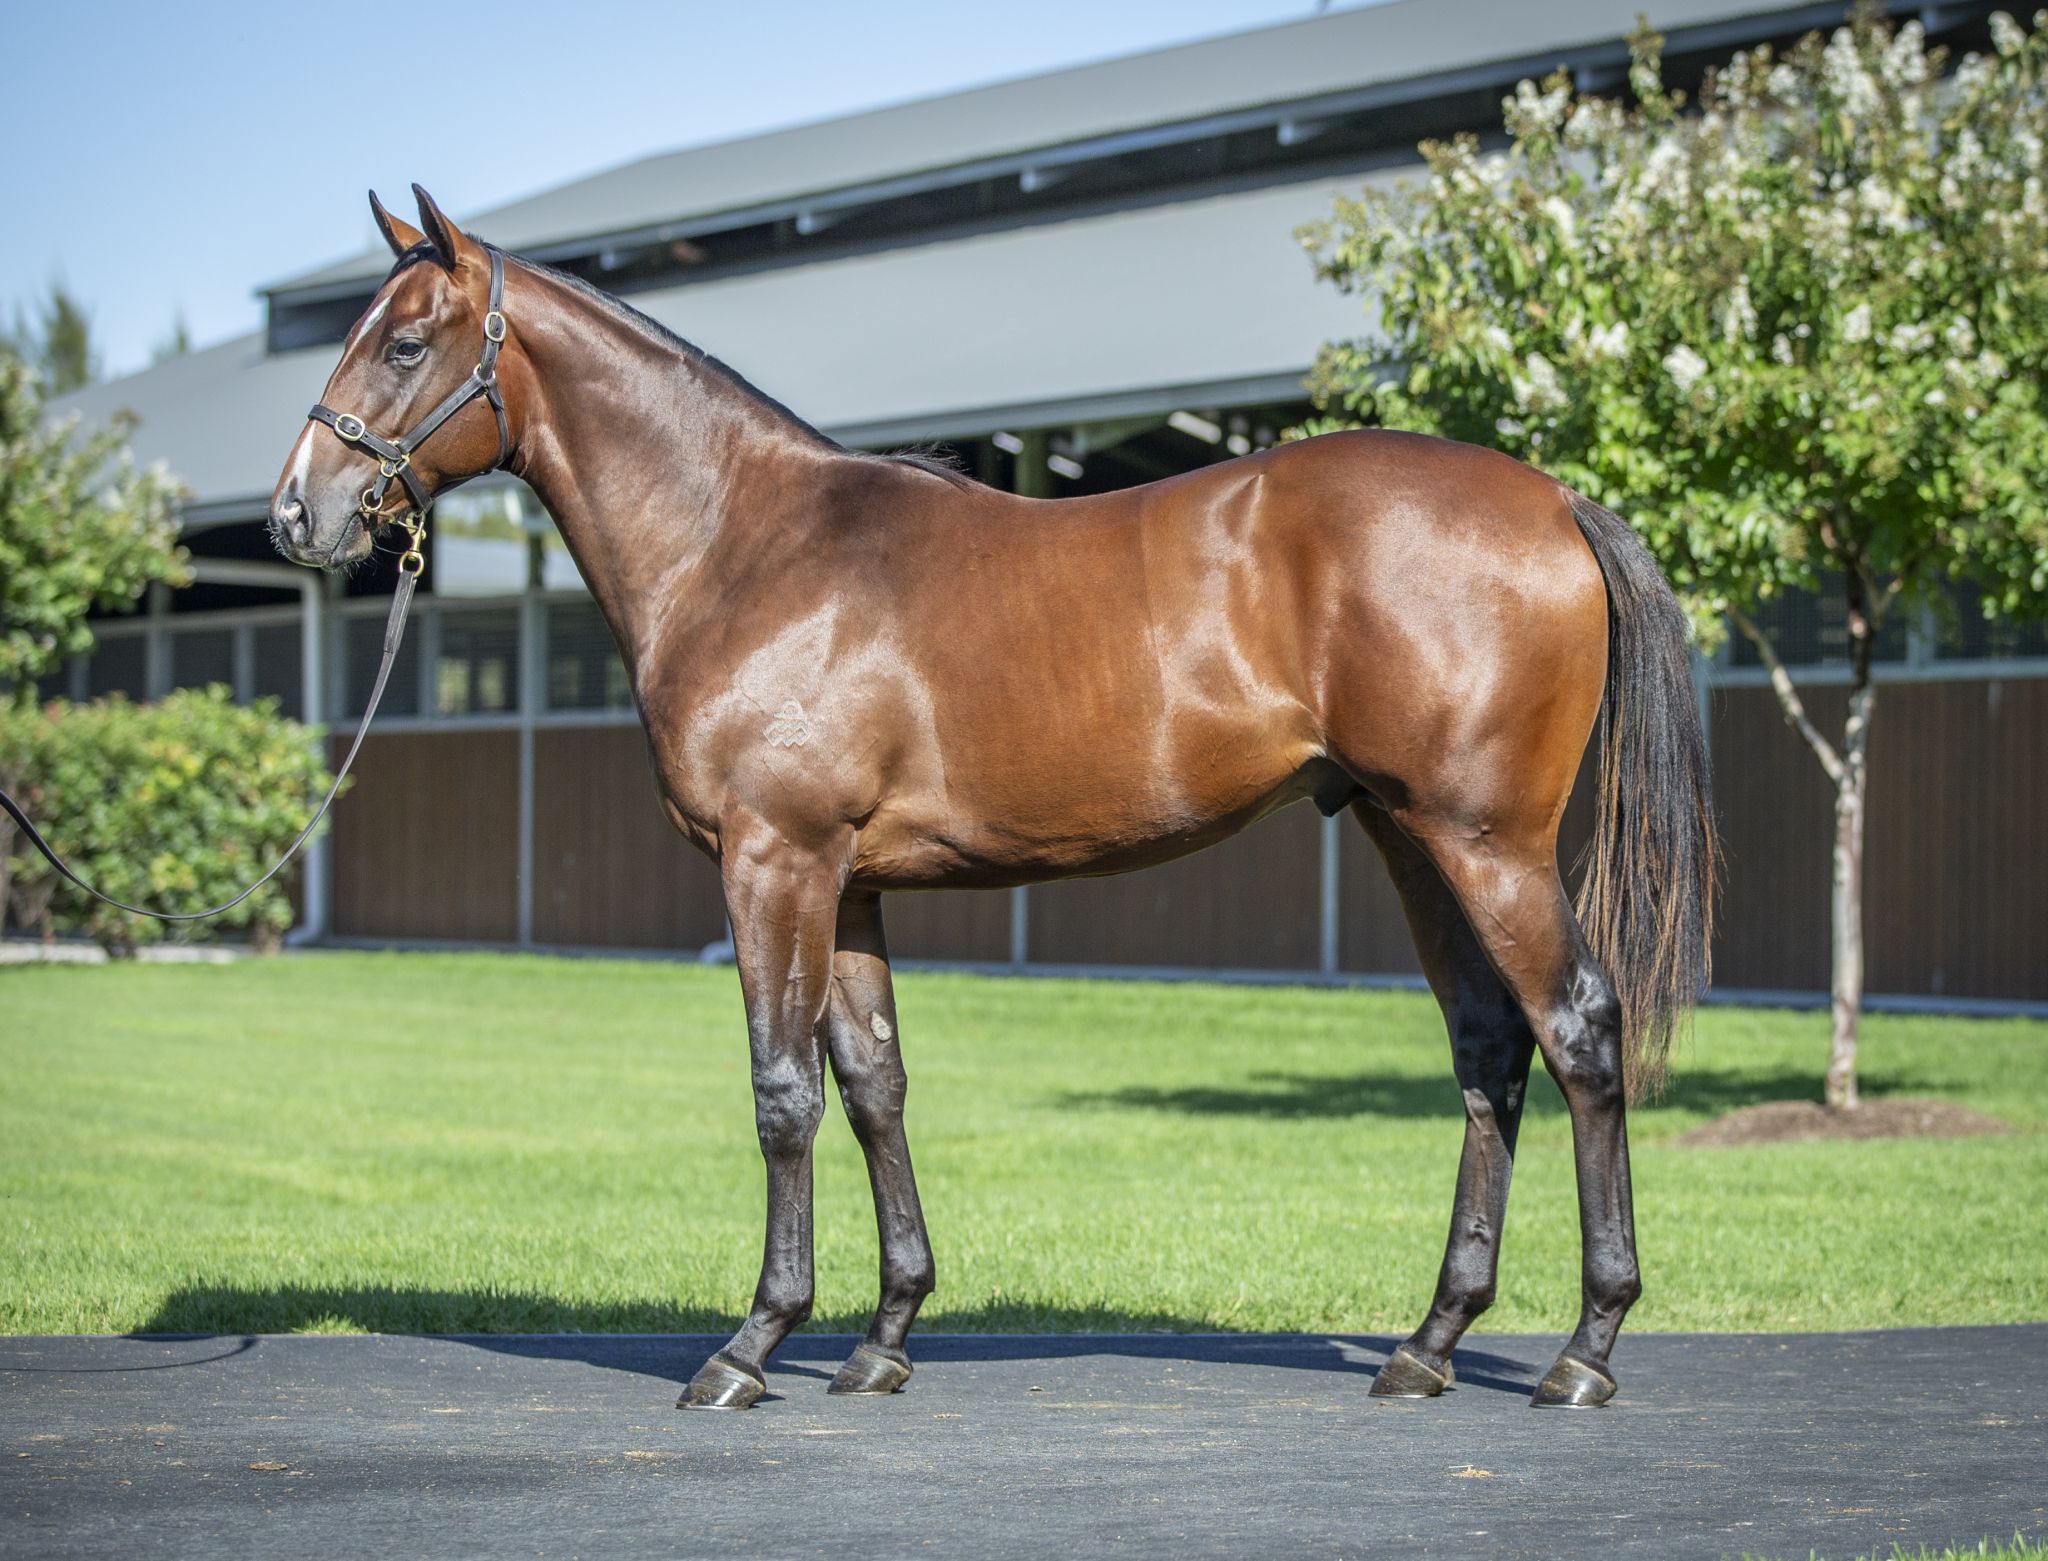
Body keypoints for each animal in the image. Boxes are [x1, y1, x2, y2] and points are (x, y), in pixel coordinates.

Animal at [268, 185, 1712, 1409]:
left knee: (1579, 1032)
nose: (296, 516)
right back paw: (1428, 1343)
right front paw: (885, 1336)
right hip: (1409, 835)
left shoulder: (773, 862)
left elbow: (781, 1092)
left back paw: (1584, 1349)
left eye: (405, 343)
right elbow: (873, 1085)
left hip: (1488, 844)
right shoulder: (847, 885)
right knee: (1487, 1047)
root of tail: (1554, 498)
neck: (745, 544)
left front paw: (751, 1344)